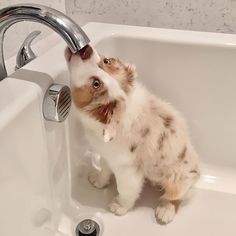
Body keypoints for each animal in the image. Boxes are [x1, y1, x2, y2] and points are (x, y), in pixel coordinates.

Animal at [64, 45, 199, 224]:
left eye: (96, 84)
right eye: (106, 61)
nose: (85, 50)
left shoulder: (127, 169)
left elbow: (126, 189)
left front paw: (120, 206)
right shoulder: (107, 154)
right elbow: (104, 170)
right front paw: (98, 181)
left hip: (179, 178)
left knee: (175, 196)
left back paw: (165, 210)